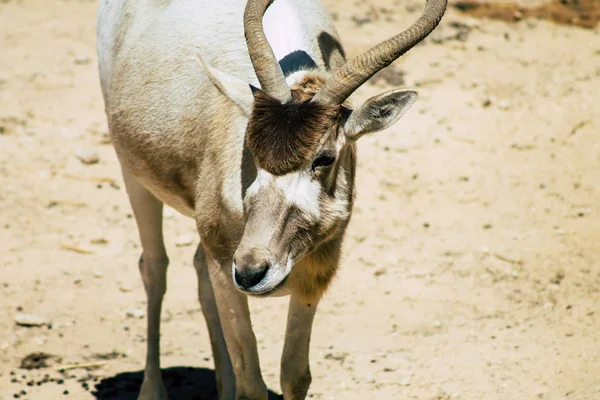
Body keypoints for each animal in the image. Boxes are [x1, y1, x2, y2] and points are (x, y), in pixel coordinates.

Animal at [97, 0, 446, 398]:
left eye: (324, 158)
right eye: (251, 147)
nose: (251, 272)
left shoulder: (313, 274)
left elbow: (295, 374)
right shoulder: (225, 263)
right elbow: (252, 383)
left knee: (196, 270)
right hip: (133, 173)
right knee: (154, 267)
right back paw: (152, 389)